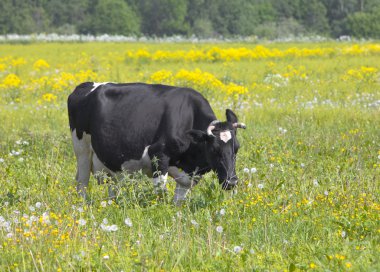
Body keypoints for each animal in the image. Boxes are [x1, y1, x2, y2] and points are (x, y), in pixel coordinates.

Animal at [68, 82, 246, 203]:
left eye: (236, 149)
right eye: (214, 150)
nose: (231, 181)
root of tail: (84, 86)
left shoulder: (187, 176)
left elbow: (178, 202)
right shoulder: (158, 156)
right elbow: (160, 194)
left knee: (111, 184)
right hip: (82, 151)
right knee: (82, 183)